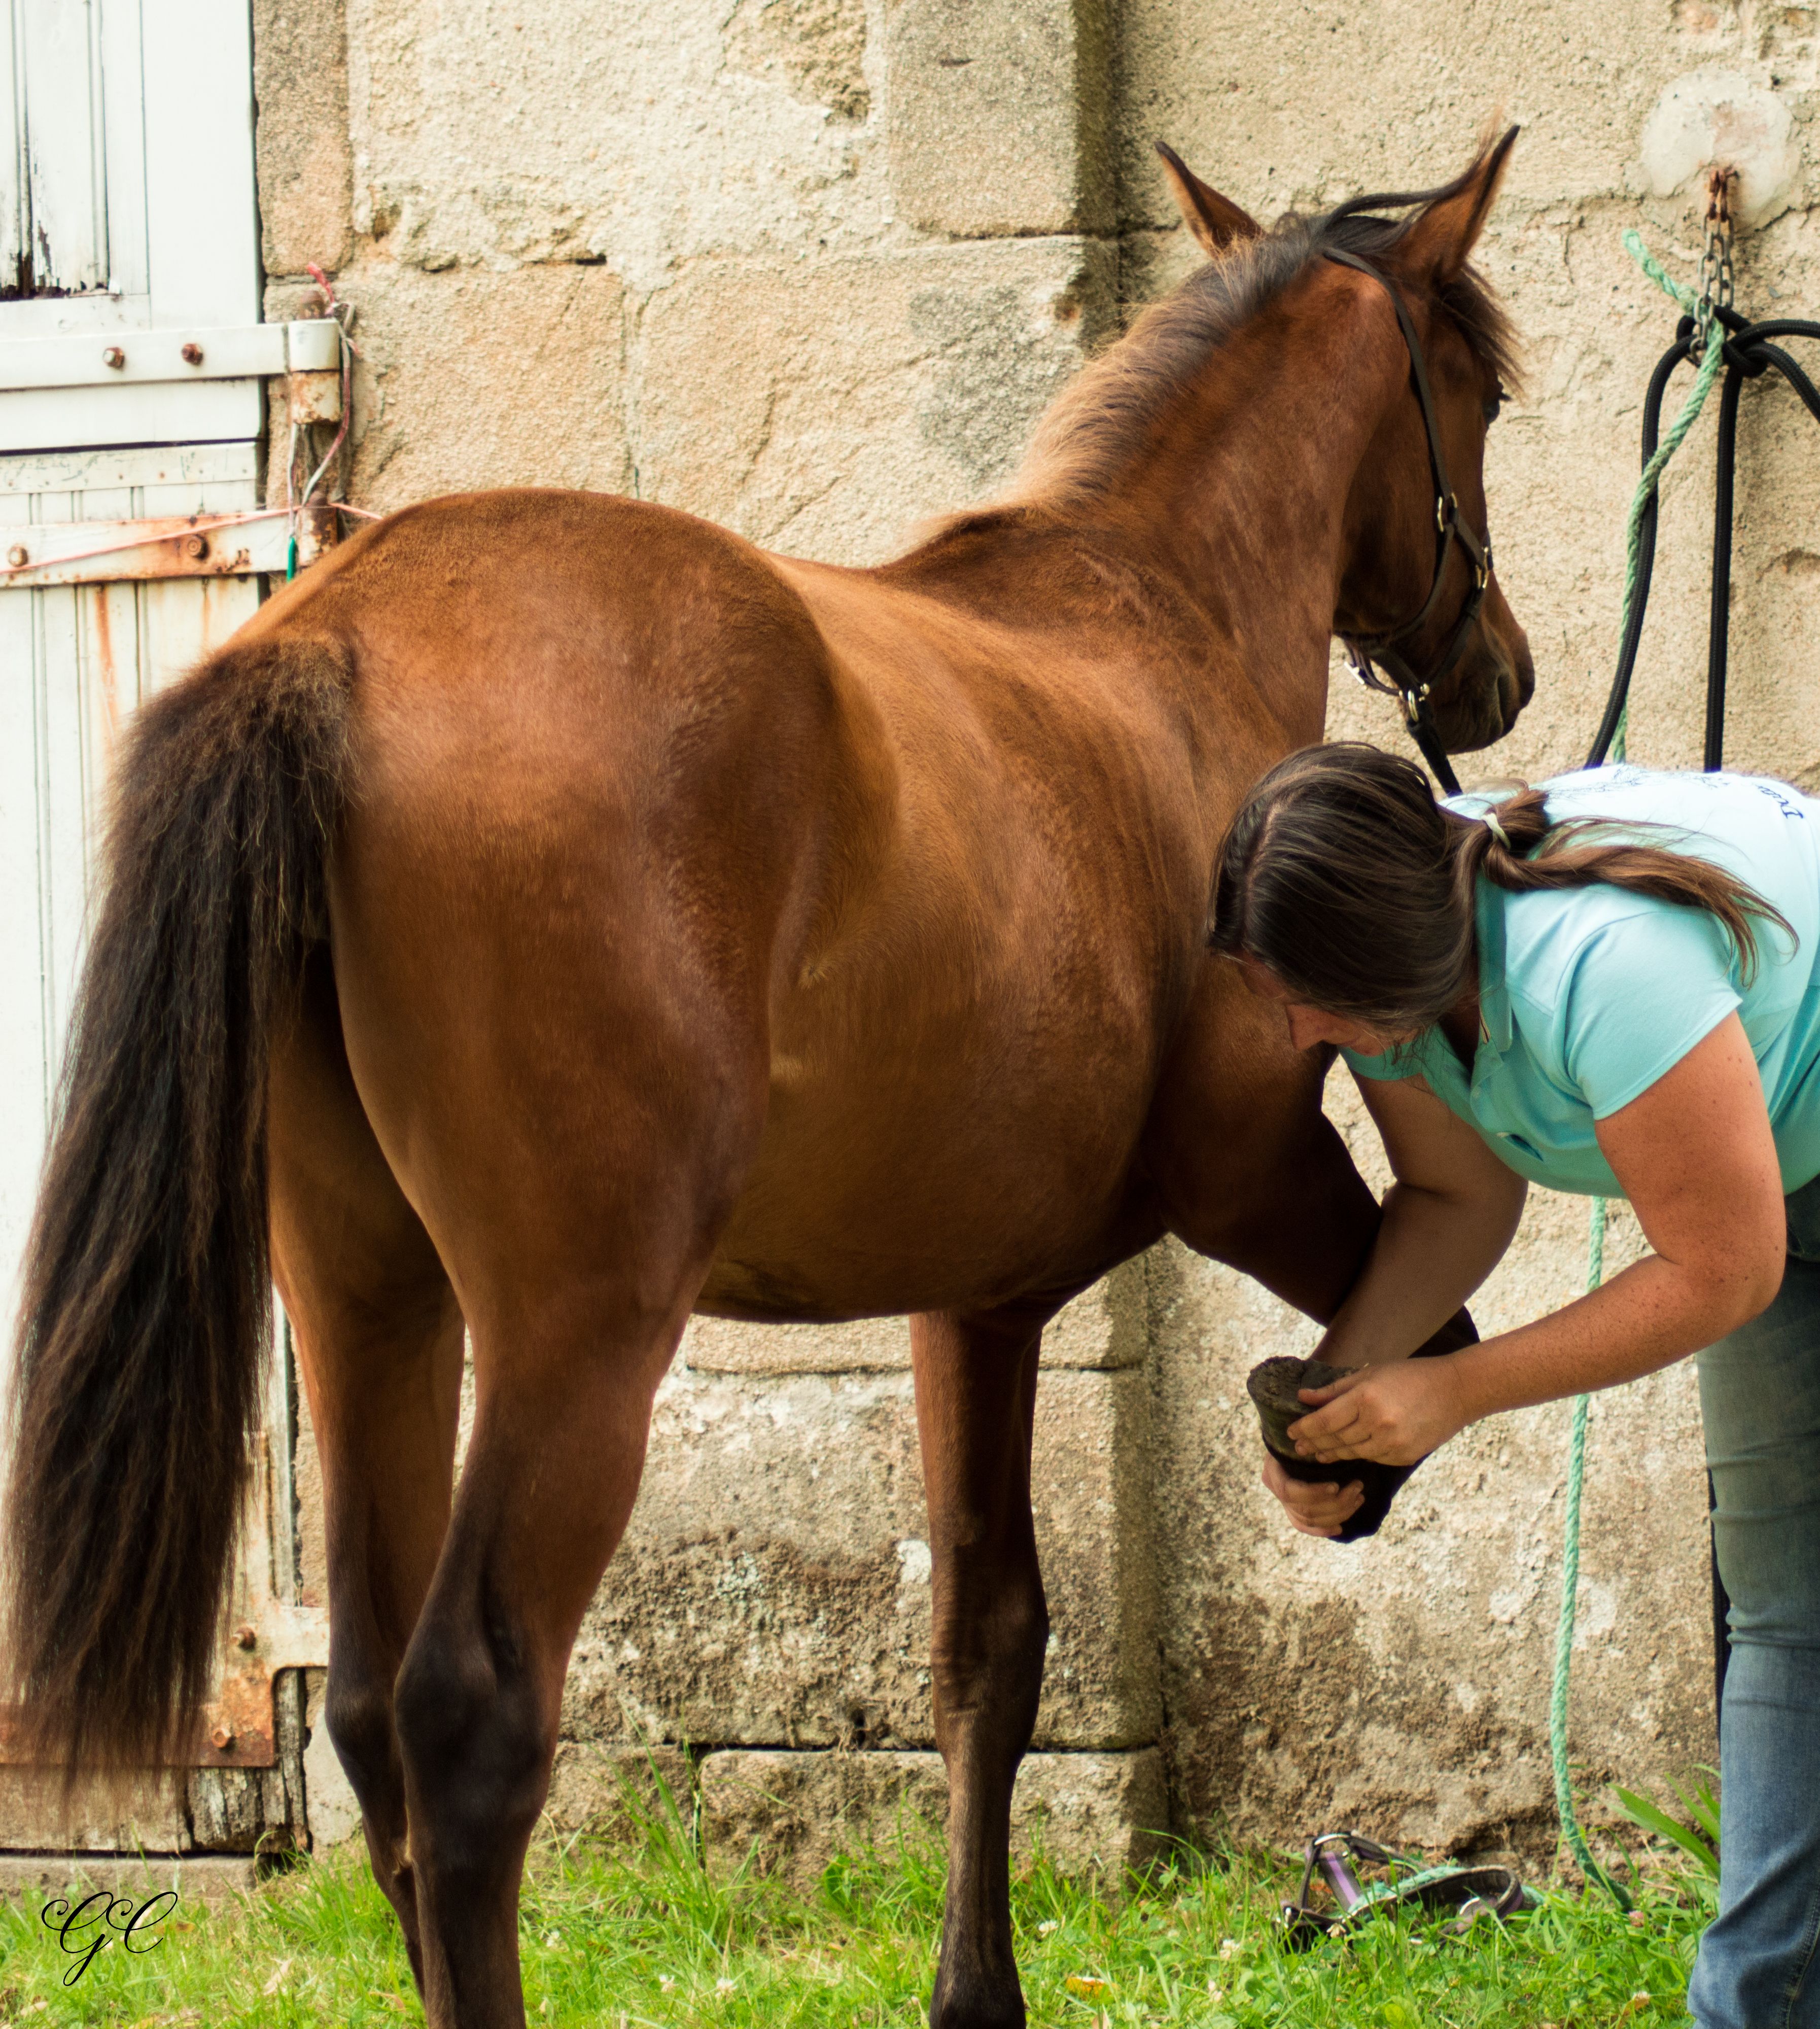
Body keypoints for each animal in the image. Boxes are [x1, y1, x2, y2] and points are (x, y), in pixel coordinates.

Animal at [7, 135, 1526, 2021]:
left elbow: (985, 1647)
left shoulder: (977, 1297)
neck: (1144, 620)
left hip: (366, 1297)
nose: (1495, 674)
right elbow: (1415, 1328)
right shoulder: (1250, 1171)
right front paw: (1335, 1451)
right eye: (1477, 392)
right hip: (577, 1332)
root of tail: (338, 640)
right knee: (467, 1716)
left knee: (364, 1709)